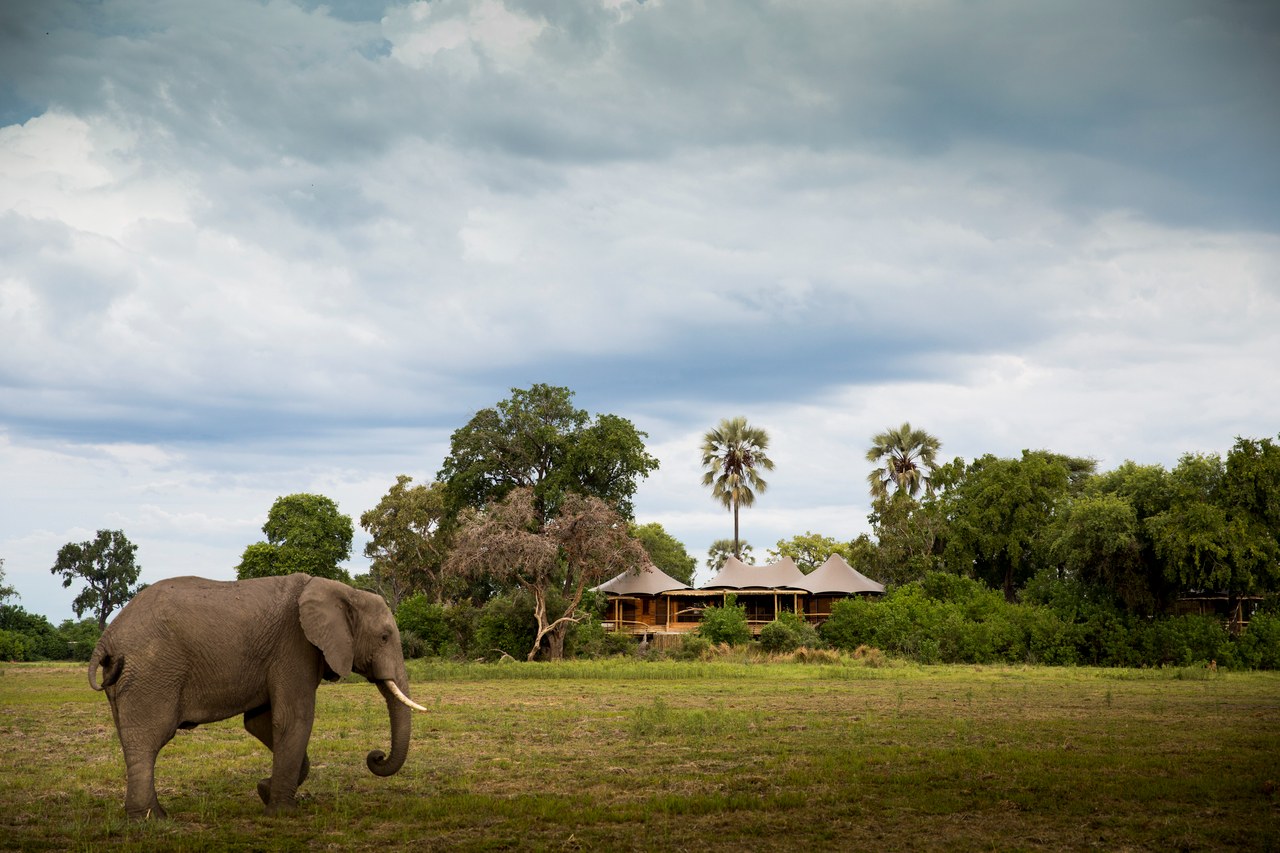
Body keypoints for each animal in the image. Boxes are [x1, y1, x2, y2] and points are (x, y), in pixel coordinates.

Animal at [87, 573, 426, 819]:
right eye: (384, 637)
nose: (375, 756)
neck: (343, 591)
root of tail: (107, 638)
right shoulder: (294, 646)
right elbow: (294, 719)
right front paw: (284, 813)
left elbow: (260, 723)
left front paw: (264, 791)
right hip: (152, 672)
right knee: (149, 738)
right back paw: (150, 819)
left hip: (129, 677)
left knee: (133, 739)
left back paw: (148, 815)